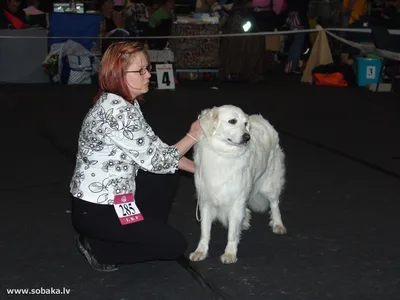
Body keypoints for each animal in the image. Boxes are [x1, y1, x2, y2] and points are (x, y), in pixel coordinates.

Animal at [189, 104, 286, 264]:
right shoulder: (206, 202)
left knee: (274, 204)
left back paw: (278, 225)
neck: (223, 154)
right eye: (232, 121)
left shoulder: (236, 201)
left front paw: (230, 254)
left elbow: (232, 233)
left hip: (270, 185)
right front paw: (200, 252)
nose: (247, 137)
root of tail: (263, 119)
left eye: (245, 124)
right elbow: (205, 232)